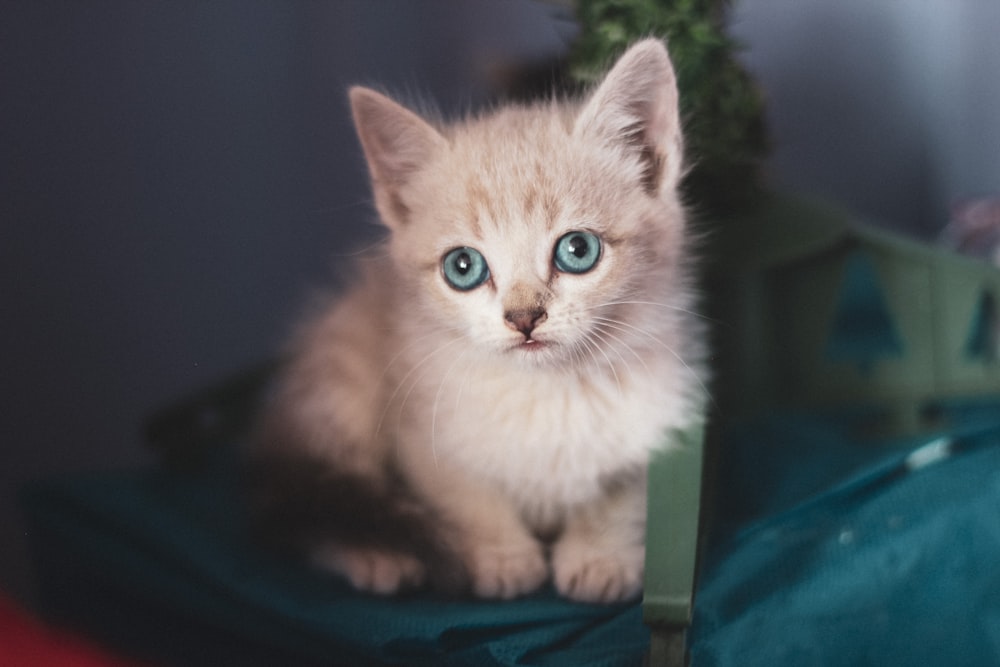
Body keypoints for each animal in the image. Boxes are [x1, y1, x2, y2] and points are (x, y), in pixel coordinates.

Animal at [247, 40, 708, 604]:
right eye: (463, 267)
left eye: (578, 250)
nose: (524, 317)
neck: (547, 394)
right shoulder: (423, 431)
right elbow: (465, 497)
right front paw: (504, 557)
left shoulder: (664, 420)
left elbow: (622, 499)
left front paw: (599, 557)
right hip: (340, 380)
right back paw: (376, 554)